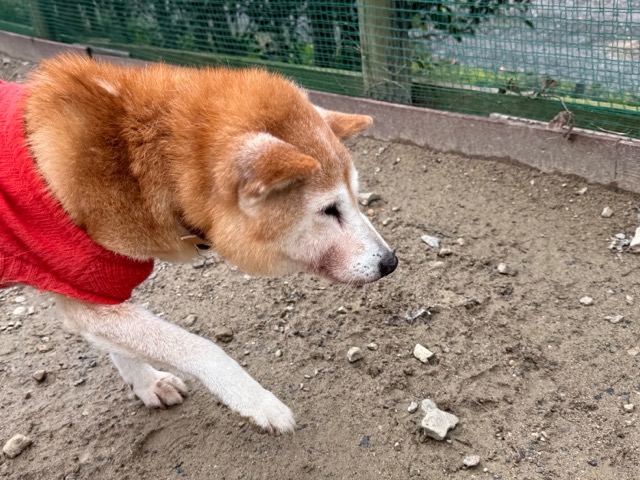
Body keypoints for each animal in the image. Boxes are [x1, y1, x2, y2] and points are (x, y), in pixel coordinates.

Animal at [0, 55, 397, 434]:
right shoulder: (86, 289)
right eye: (329, 209)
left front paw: (146, 384)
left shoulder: (95, 288)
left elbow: (119, 346)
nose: (390, 262)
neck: (136, 164)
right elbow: (202, 349)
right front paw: (259, 404)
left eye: (356, 197)